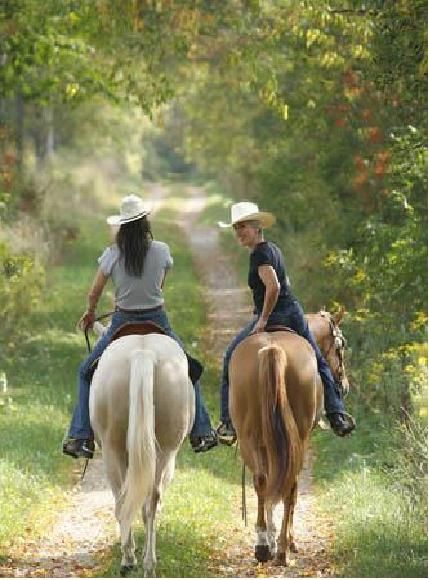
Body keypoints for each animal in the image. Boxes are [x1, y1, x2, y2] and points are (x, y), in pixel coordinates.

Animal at [88, 330, 194, 576]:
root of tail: (143, 354)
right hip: (164, 451)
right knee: (150, 500)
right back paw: (147, 564)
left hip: (113, 450)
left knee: (124, 499)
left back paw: (129, 559)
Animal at [231, 310, 348, 564]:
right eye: (340, 347)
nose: (344, 386)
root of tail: (272, 349)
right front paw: (286, 540)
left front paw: (270, 537)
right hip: (299, 439)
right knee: (290, 484)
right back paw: (284, 548)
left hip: (249, 438)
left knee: (262, 480)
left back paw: (264, 546)